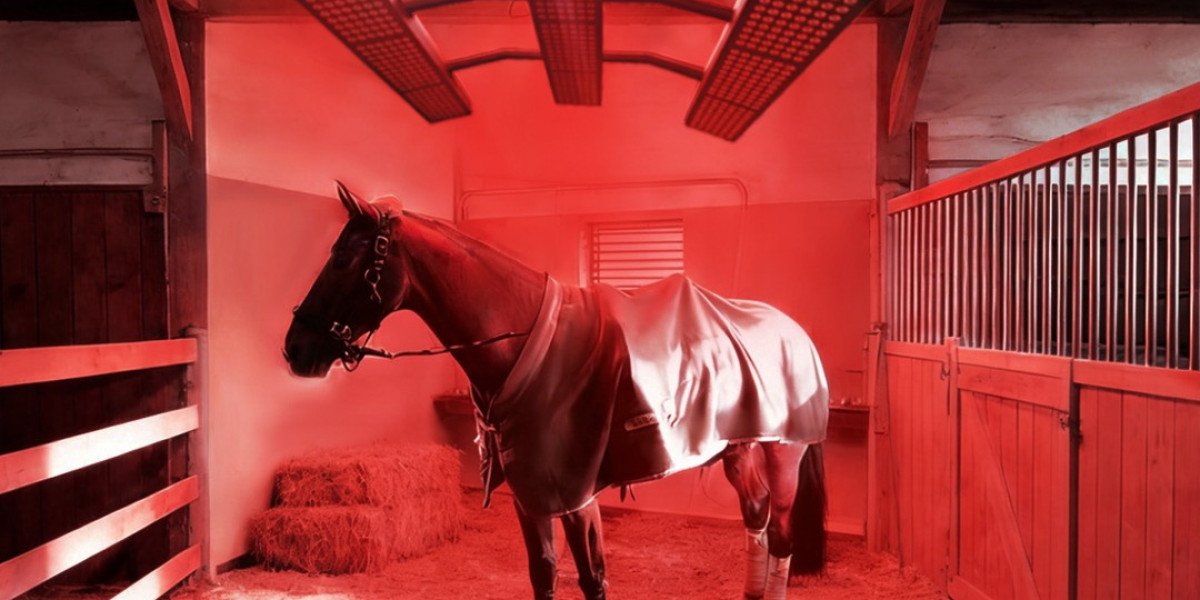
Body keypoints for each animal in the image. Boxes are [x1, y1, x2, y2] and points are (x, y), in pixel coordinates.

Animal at [283, 183, 830, 600]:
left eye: (343, 259)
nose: (295, 347)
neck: (522, 340)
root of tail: (794, 331)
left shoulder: (575, 496)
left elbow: (591, 580)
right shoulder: (532, 495)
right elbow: (544, 574)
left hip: (783, 454)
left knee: (781, 535)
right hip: (739, 451)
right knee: (756, 516)